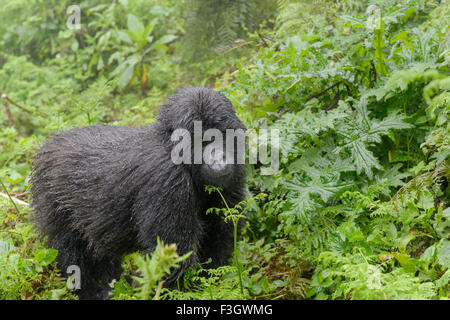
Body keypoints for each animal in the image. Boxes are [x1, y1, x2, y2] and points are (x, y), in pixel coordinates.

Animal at [30, 87, 246, 300]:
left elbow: (219, 233)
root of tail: (48, 145)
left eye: (222, 135)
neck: (170, 144)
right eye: (203, 141)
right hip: (49, 191)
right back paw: (93, 290)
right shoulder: (166, 178)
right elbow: (174, 256)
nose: (218, 158)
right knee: (73, 251)